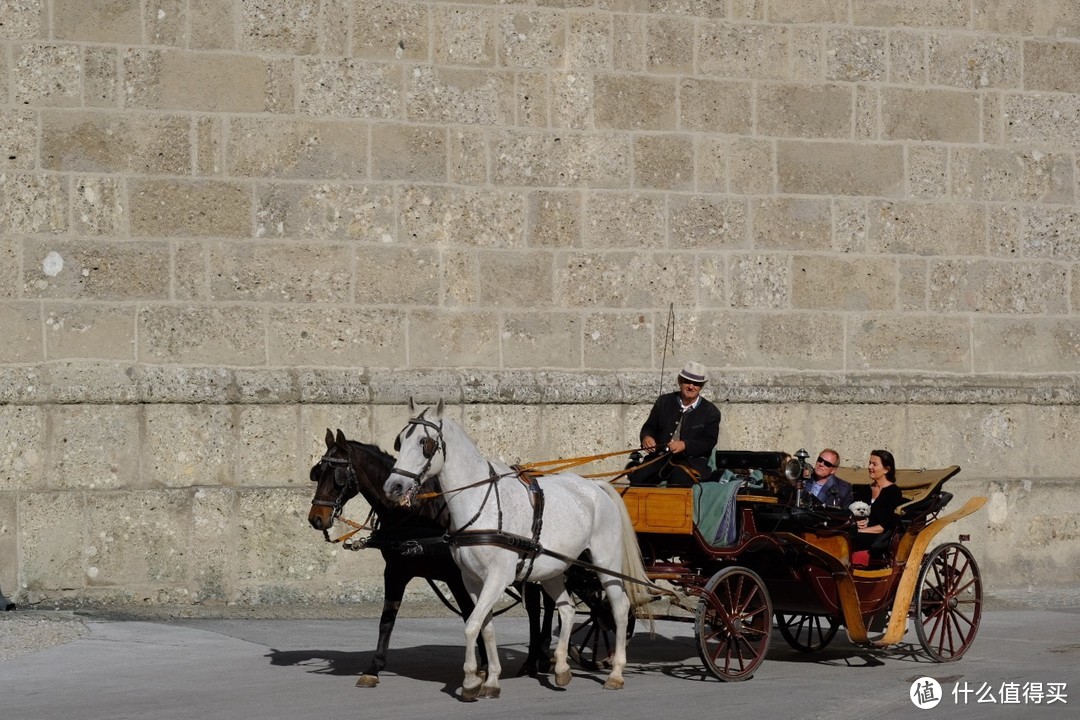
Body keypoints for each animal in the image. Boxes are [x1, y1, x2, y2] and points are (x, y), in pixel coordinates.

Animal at [308, 427, 552, 686]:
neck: (413, 514)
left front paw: (483, 665)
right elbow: (387, 619)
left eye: (337, 476)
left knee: (540, 603)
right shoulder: (396, 570)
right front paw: (374, 667)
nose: (316, 518)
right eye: (317, 473)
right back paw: (537, 658)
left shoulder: (457, 577)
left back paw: (538, 658)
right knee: (538, 602)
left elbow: (471, 614)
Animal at [382, 399, 648, 699]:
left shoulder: (498, 577)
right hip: (553, 570)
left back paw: (615, 672)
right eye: (400, 441)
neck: (481, 504)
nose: (393, 486)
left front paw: (470, 681)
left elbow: (471, 625)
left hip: (606, 563)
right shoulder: (472, 580)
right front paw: (490, 680)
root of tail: (597, 486)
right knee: (567, 610)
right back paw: (561, 668)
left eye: (424, 442)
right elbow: (485, 627)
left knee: (618, 609)